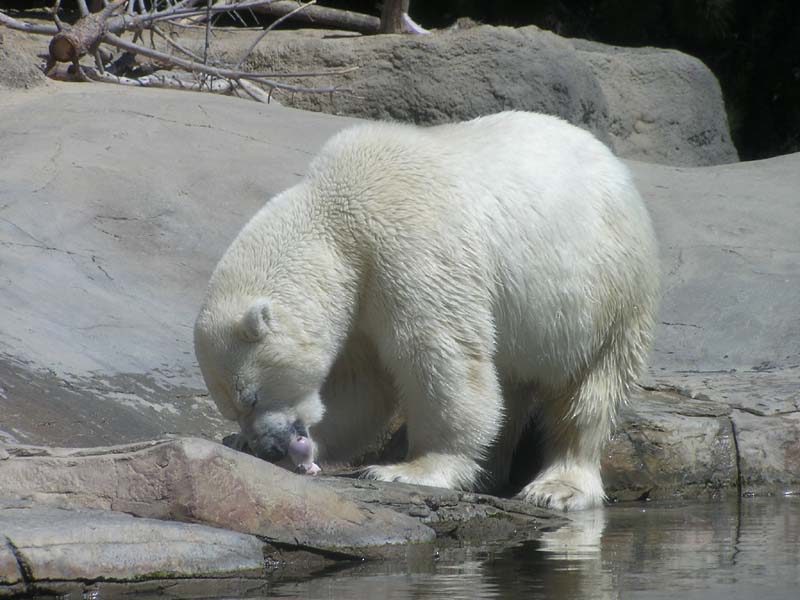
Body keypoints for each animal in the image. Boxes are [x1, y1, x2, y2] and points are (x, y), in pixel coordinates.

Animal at [193, 111, 660, 511]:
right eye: (232, 407)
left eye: (250, 396)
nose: (269, 447)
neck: (338, 218)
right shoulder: (360, 301)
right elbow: (359, 386)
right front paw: (247, 442)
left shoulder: (408, 244)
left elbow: (439, 354)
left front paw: (407, 469)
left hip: (608, 293)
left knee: (589, 393)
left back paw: (557, 486)